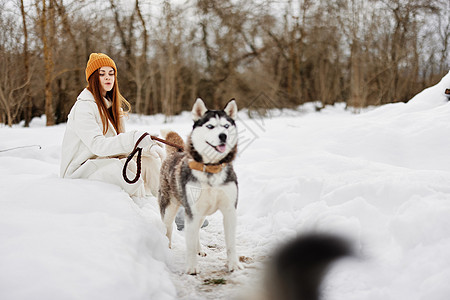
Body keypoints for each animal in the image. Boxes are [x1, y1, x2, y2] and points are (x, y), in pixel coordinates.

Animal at [158, 98, 243, 274]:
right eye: (210, 126)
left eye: (226, 125)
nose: (223, 136)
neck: (211, 169)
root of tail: (176, 152)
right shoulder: (193, 210)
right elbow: (189, 244)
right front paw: (191, 268)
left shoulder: (229, 210)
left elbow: (231, 243)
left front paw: (233, 264)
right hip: (169, 208)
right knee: (168, 228)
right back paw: (167, 247)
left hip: (200, 213)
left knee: (195, 230)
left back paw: (199, 248)